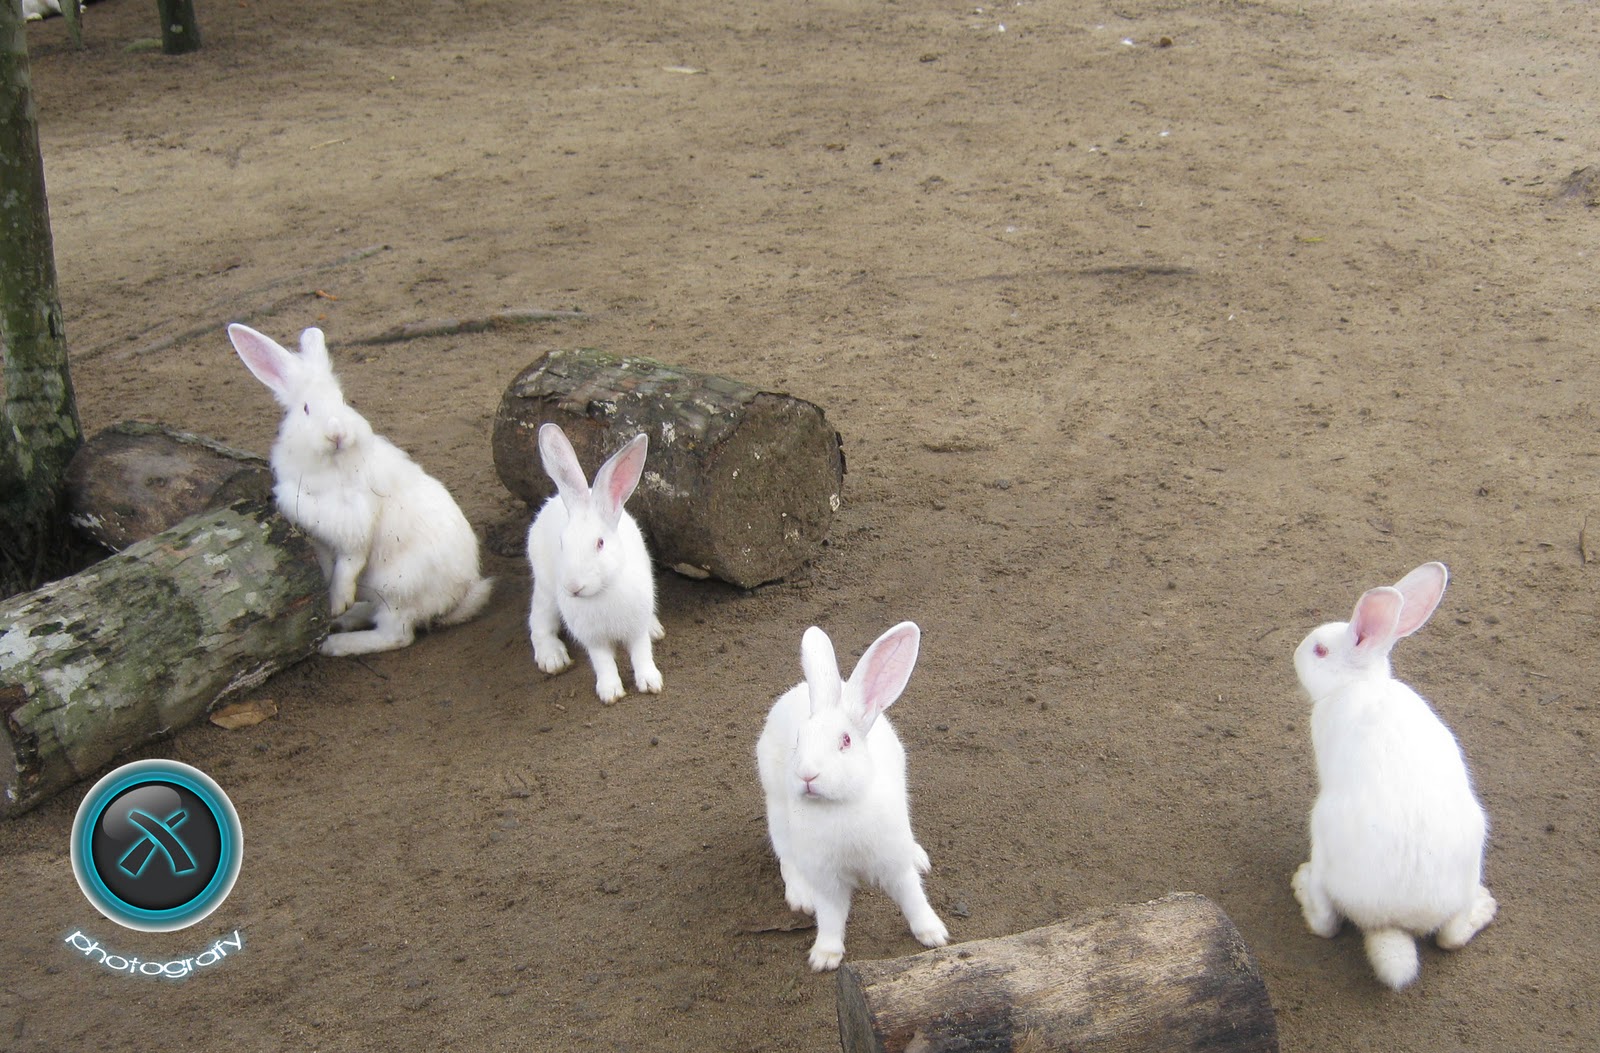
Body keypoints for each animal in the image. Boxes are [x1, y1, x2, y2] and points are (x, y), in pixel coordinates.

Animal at [227, 323, 493, 656]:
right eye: (306, 408)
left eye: (343, 400)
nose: (337, 434)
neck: (331, 464)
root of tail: (461, 593)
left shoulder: (354, 520)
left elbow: (349, 561)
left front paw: (338, 600)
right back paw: (347, 618)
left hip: (397, 590)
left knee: (396, 636)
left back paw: (335, 641)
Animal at [525, 423, 664, 703]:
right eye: (562, 543)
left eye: (600, 543)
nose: (573, 586)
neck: (603, 591)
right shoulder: (593, 639)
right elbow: (603, 662)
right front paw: (610, 692)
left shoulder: (636, 627)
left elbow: (642, 652)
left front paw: (650, 682)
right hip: (545, 587)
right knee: (538, 620)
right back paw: (552, 658)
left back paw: (655, 628)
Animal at [756, 621, 948, 971]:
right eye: (799, 740)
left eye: (845, 741)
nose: (807, 774)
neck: (841, 805)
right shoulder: (827, 879)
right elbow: (831, 916)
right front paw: (824, 957)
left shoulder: (894, 865)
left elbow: (913, 898)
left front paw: (933, 934)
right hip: (776, 808)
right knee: (786, 857)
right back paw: (800, 897)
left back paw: (919, 856)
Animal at [1291, 561, 1497, 990]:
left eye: (1320, 650)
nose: (1296, 651)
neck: (1359, 685)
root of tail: (1393, 923)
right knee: (1453, 936)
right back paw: (1484, 908)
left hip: (1321, 833)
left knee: (1325, 924)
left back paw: (1301, 883)